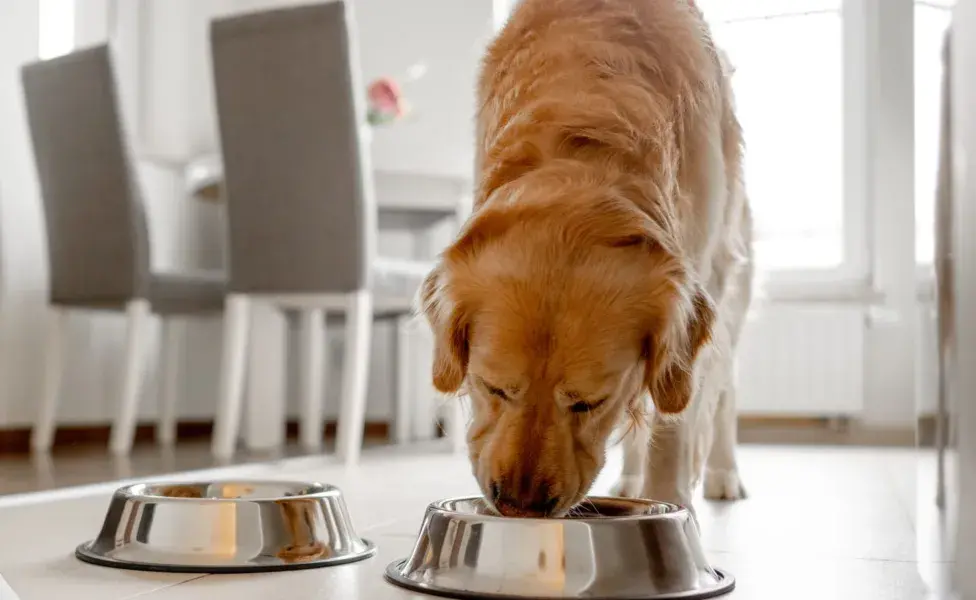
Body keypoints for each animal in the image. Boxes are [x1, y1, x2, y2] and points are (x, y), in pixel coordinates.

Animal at [418, 0, 748, 516]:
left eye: (589, 402)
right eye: (493, 387)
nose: (521, 506)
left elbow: (674, 420)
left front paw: (671, 500)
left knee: (721, 389)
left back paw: (721, 473)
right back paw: (631, 481)